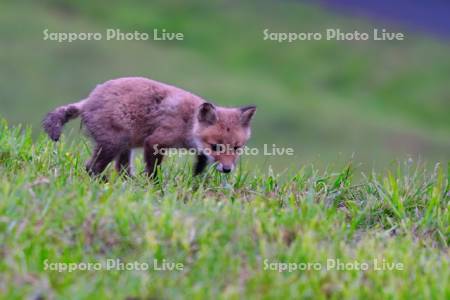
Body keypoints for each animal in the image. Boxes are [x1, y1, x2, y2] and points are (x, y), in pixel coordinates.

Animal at [42, 76, 256, 178]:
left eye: (236, 148)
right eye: (216, 147)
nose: (227, 170)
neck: (188, 124)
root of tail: (88, 100)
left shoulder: (197, 149)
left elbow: (200, 163)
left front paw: (196, 178)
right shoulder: (155, 142)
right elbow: (153, 171)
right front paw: (155, 186)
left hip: (124, 147)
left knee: (121, 170)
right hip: (114, 144)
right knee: (91, 168)